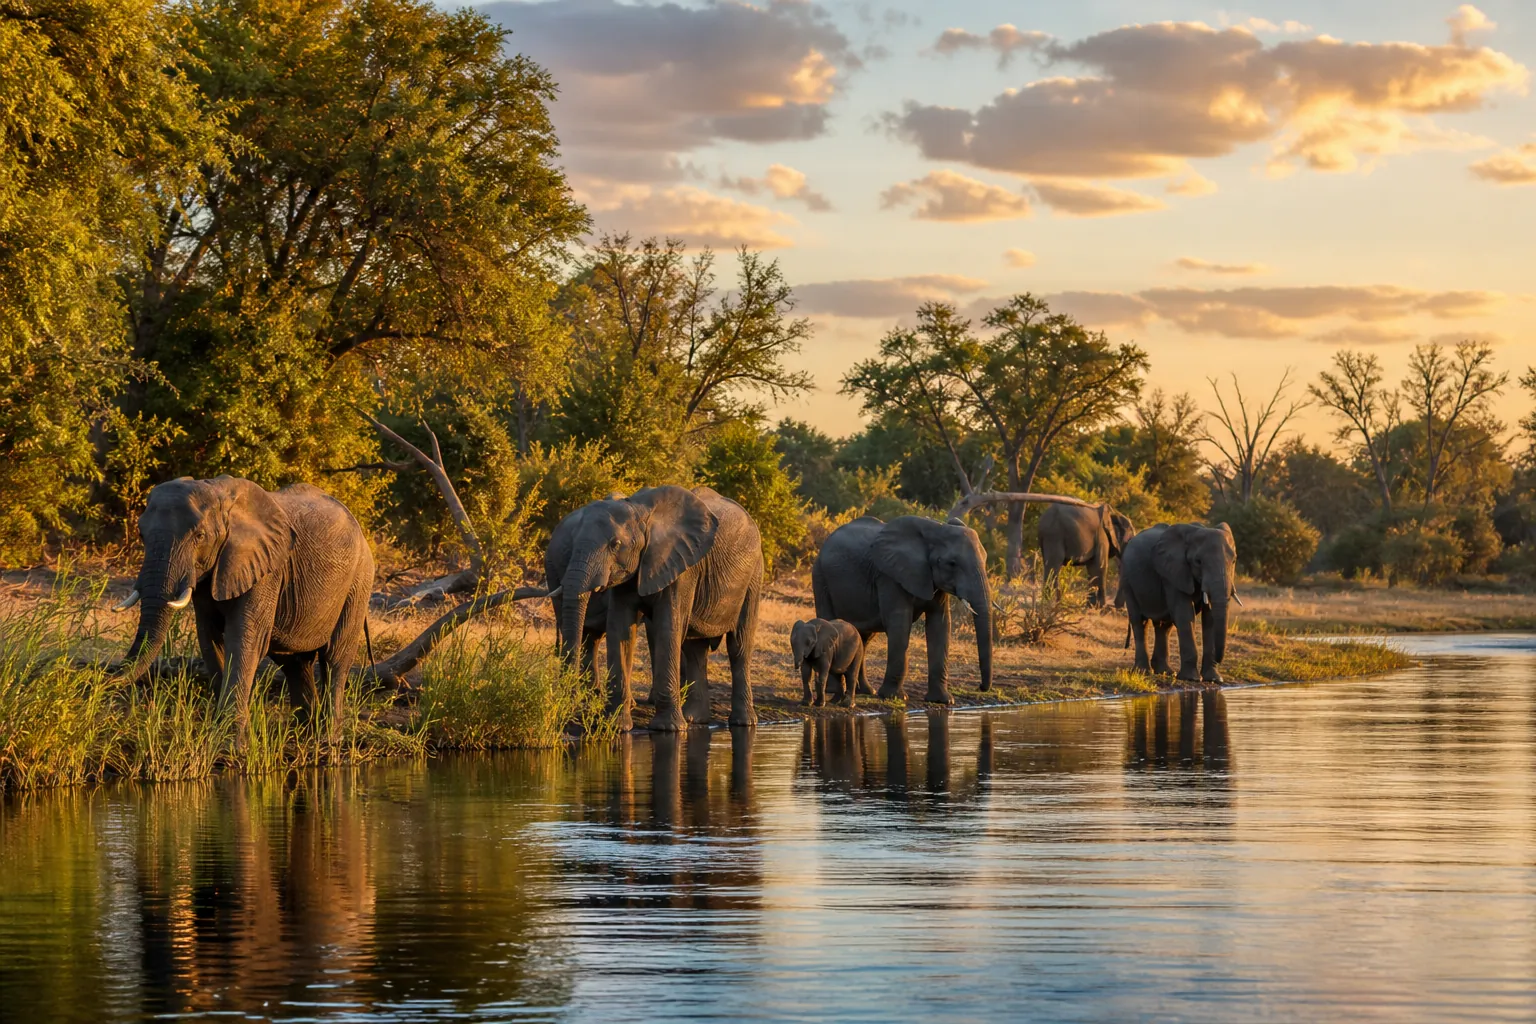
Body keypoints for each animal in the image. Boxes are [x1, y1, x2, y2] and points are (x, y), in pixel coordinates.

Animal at [116, 475, 373, 740]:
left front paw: (231, 742)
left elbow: (243, 640)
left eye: (199, 536)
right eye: (141, 534)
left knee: (335, 659)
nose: (108, 676)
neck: (219, 495)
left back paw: (329, 738)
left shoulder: (267, 570)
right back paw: (303, 733)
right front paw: (222, 732)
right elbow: (210, 639)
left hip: (359, 582)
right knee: (294, 663)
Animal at [557, 485, 763, 732]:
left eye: (615, 544)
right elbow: (620, 630)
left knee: (739, 647)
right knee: (696, 650)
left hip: (753, 577)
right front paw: (617, 726)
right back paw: (694, 718)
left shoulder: (683, 570)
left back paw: (743, 723)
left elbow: (668, 627)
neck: (641, 513)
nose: (571, 704)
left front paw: (668, 729)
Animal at [811, 515, 993, 704]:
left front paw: (943, 700)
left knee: (863, 638)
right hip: (820, 577)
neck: (936, 530)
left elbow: (940, 625)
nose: (981, 687)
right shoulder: (889, 576)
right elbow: (900, 623)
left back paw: (866, 691)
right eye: (952, 563)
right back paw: (834, 689)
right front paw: (894, 697)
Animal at [1119, 523, 1238, 683]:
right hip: (1127, 580)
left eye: (1234, 561)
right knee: (1139, 622)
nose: (1219, 660)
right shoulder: (1173, 574)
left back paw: (1165, 672)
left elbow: (1210, 619)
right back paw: (1143, 672)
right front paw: (1192, 678)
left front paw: (1214, 679)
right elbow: (1185, 615)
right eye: (1198, 562)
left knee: (1164, 625)